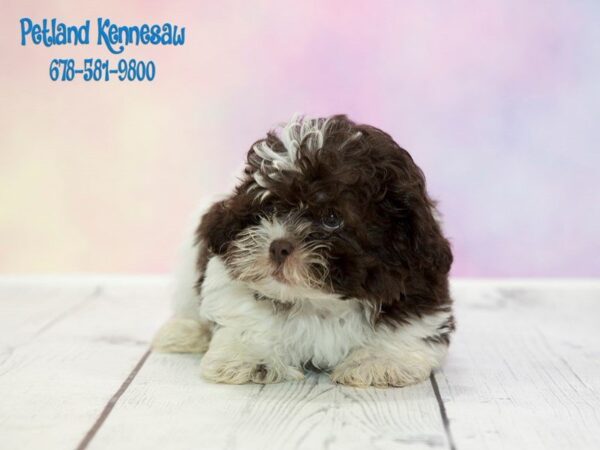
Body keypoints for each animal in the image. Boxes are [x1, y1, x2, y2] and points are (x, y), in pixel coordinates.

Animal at [152, 115, 452, 386]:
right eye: (270, 209)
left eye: (332, 218)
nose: (278, 247)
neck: (320, 302)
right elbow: (247, 315)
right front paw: (252, 357)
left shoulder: (416, 286)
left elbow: (406, 327)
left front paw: (380, 361)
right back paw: (186, 331)